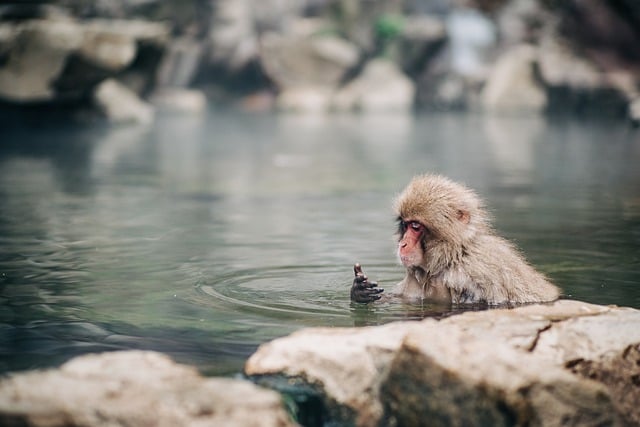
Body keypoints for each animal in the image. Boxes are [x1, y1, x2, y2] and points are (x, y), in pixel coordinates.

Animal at [350, 176, 560, 306]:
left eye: (416, 226)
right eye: (405, 224)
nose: (403, 244)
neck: (450, 257)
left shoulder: (479, 272)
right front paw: (360, 291)